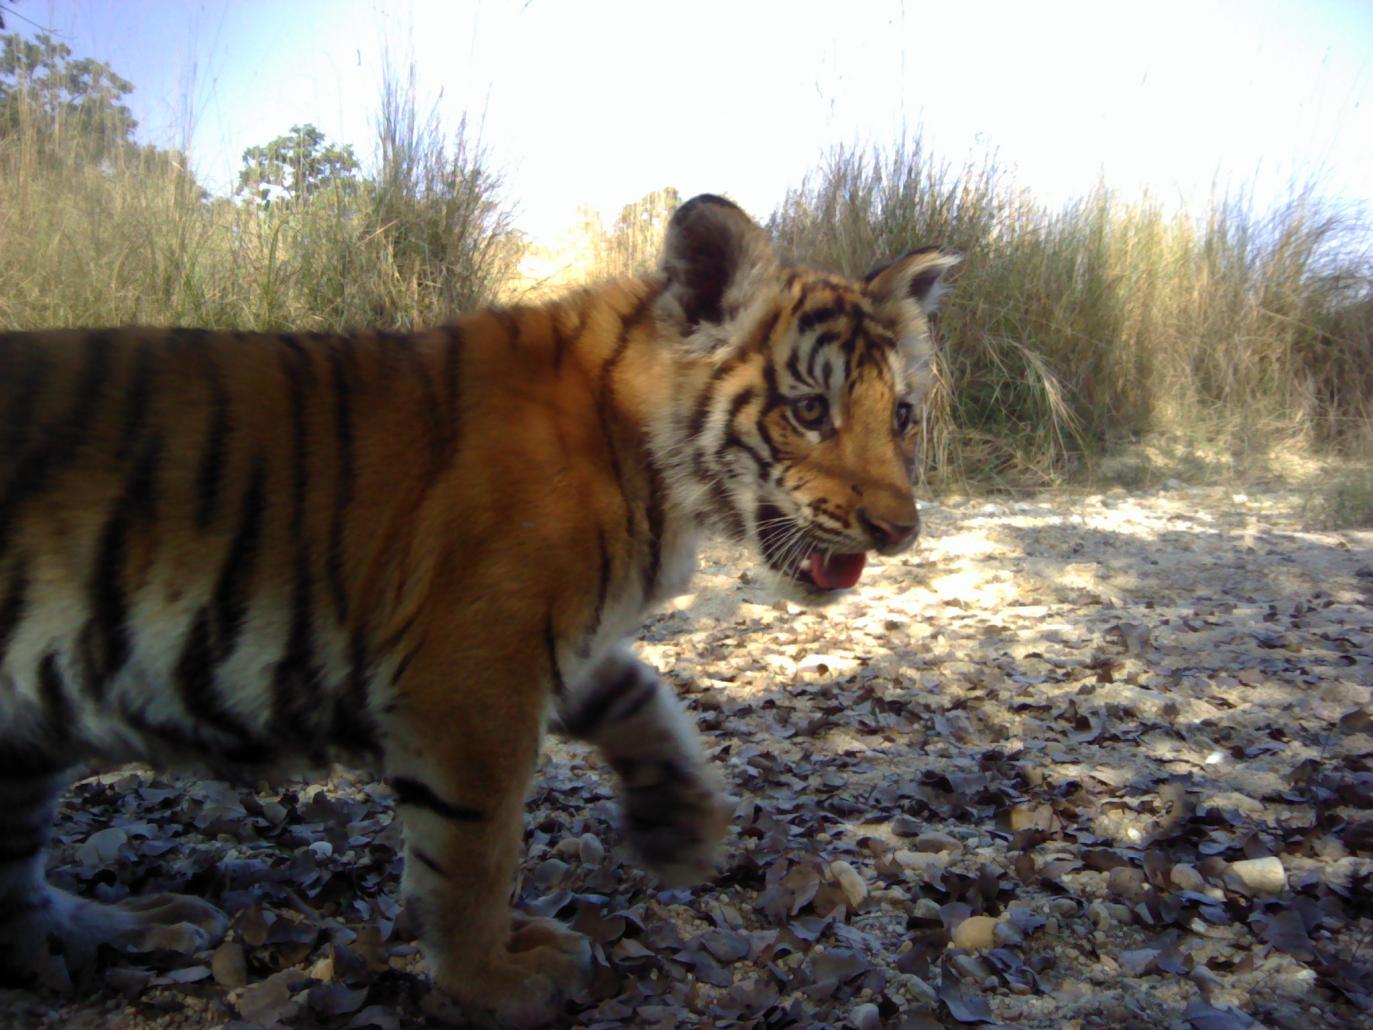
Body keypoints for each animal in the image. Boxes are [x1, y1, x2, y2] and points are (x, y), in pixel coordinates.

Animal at [0, 193, 956, 1024]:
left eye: (902, 416)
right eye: (810, 410)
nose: (899, 530)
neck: (648, 451)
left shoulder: (547, 636)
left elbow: (645, 698)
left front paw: (679, 824)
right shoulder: (472, 673)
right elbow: (473, 851)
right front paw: (490, 979)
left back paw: (137, 928)